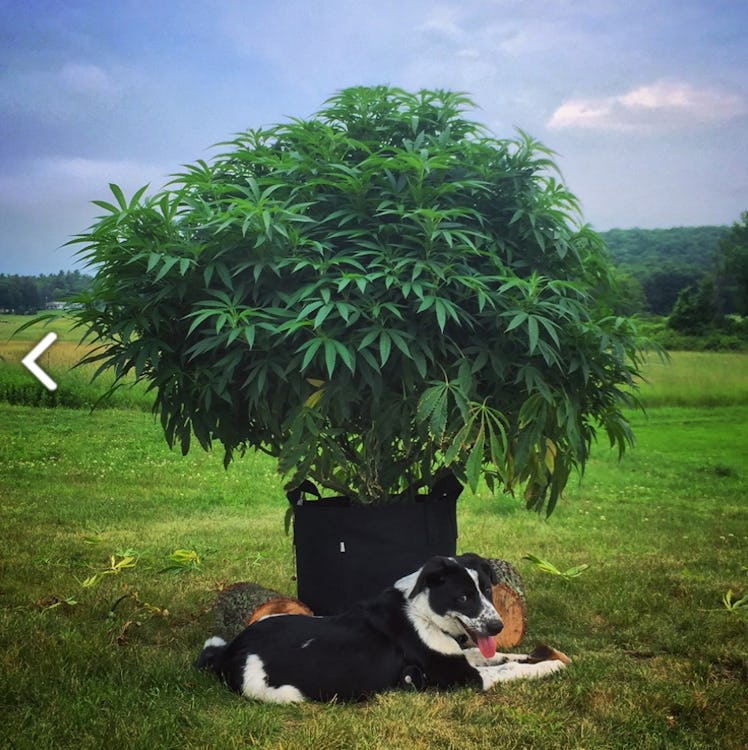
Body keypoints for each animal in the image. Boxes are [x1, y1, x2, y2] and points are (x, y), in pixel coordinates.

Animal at [196, 552, 568, 704]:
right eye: (463, 597)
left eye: (487, 591)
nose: (497, 625)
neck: (424, 615)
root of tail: (231, 653)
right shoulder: (456, 677)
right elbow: (506, 670)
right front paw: (550, 665)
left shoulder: (462, 656)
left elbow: (495, 656)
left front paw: (534, 655)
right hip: (283, 693)